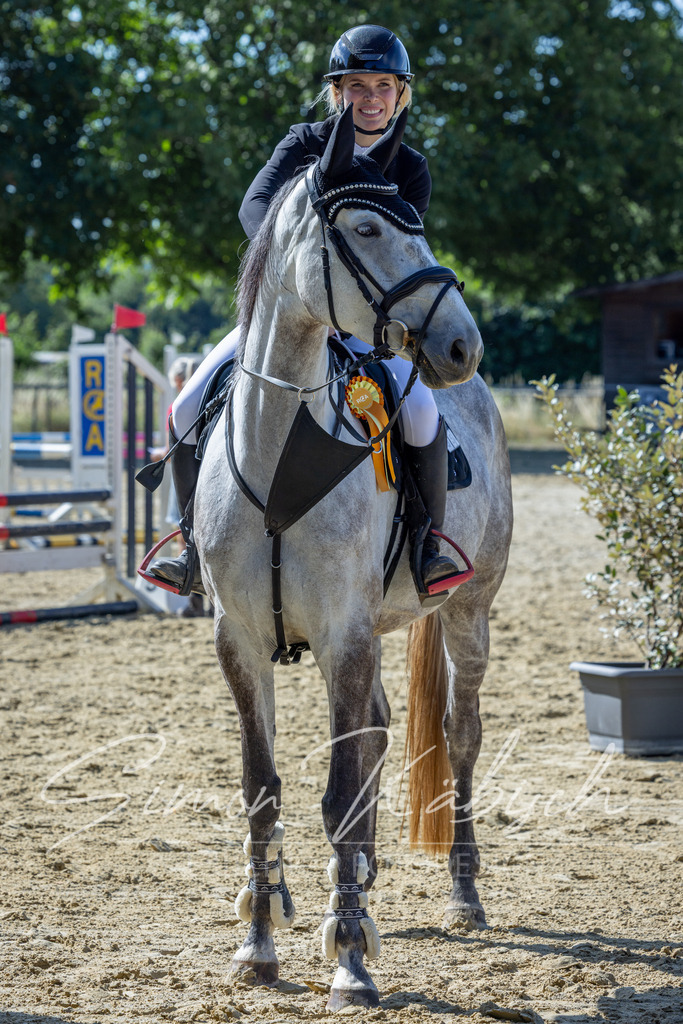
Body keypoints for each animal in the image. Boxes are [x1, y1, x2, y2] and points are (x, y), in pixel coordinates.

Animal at [193, 105, 513, 1010]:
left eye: (418, 225)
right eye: (365, 228)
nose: (462, 346)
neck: (278, 452)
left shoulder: (343, 633)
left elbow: (337, 794)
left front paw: (348, 963)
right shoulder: (240, 641)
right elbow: (262, 793)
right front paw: (260, 942)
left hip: (465, 614)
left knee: (459, 736)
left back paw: (462, 895)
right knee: (373, 732)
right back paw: (360, 882)